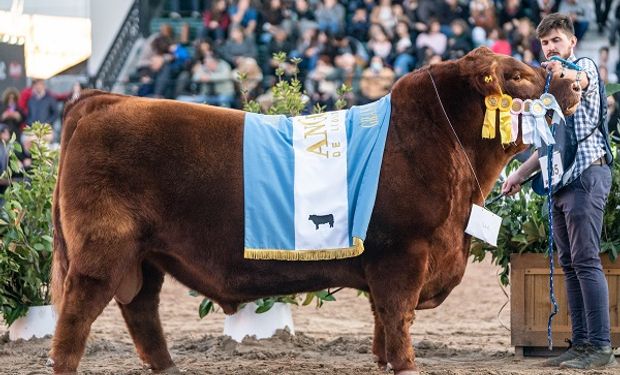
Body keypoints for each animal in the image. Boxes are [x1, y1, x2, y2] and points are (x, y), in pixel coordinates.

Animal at [49, 47, 580, 375]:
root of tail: (103, 99)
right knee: (75, 316)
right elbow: (398, 314)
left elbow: (382, 320)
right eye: (517, 75)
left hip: (146, 256)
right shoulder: (403, 254)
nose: (574, 82)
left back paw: (170, 367)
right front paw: (406, 364)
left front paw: (384, 360)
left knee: (142, 311)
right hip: (101, 251)